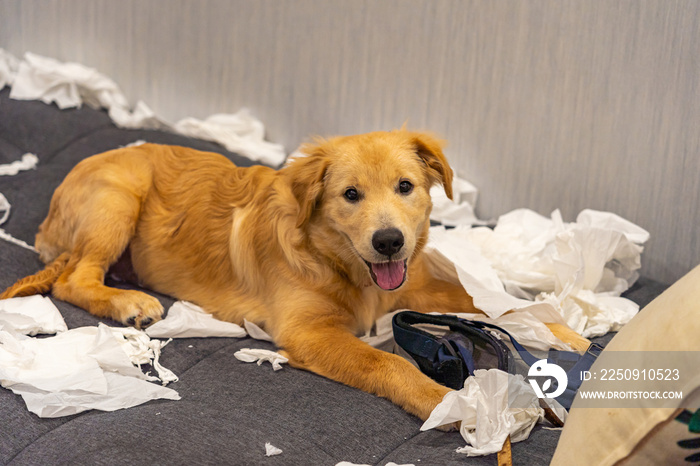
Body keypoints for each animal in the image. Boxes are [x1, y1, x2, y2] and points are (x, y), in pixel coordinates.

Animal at [2, 129, 588, 420]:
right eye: (350, 195)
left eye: (405, 187)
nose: (389, 241)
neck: (343, 265)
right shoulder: (310, 331)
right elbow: (387, 363)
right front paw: (444, 399)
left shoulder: (416, 283)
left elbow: (494, 305)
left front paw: (564, 332)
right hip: (118, 198)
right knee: (73, 279)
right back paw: (128, 303)